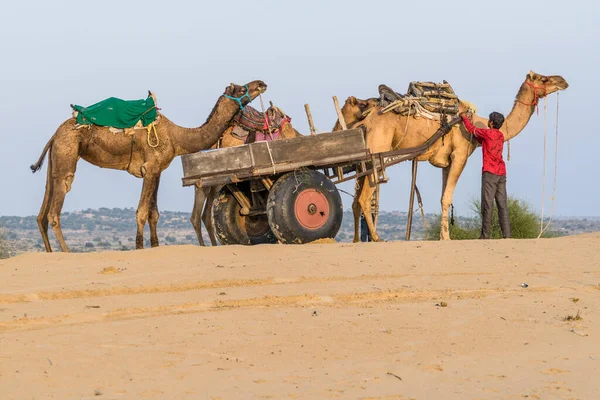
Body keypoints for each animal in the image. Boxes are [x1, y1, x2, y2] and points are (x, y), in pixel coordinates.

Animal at [29, 79, 270, 252]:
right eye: (241, 88)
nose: (261, 83)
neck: (177, 137)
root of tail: (55, 135)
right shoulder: (150, 168)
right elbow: (142, 211)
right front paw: (139, 247)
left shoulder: (158, 171)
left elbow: (154, 213)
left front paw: (155, 245)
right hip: (67, 152)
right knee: (55, 207)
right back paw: (66, 252)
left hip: (55, 159)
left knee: (42, 210)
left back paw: (50, 252)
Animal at [352, 70, 568, 242]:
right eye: (544, 78)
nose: (563, 81)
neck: (480, 124)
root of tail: (366, 122)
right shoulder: (460, 155)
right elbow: (447, 197)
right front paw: (447, 238)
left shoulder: (446, 162)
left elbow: (442, 197)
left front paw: (442, 236)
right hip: (377, 153)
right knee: (365, 198)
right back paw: (377, 238)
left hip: (365, 161)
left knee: (356, 199)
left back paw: (356, 240)